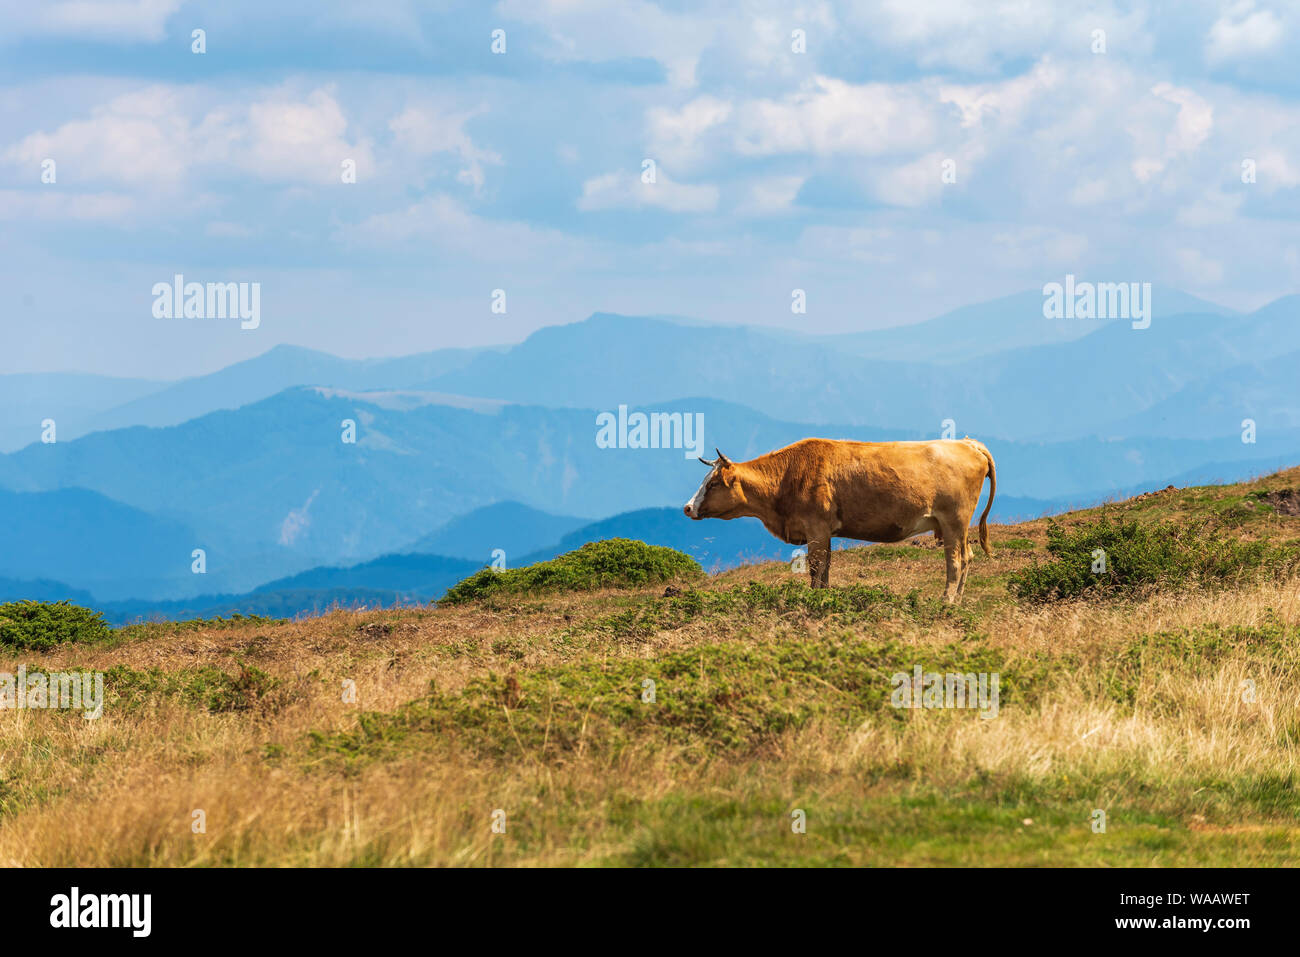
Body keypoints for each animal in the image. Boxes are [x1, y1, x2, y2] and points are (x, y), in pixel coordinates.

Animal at [683, 437, 996, 603]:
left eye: (713, 483)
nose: (687, 508)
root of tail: (967, 443)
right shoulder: (824, 532)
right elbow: (826, 568)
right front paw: (824, 597)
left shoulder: (816, 528)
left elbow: (815, 567)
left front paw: (814, 599)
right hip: (956, 525)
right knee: (968, 556)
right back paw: (958, 599)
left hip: (954, 520)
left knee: (956, 560)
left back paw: (946, 600)